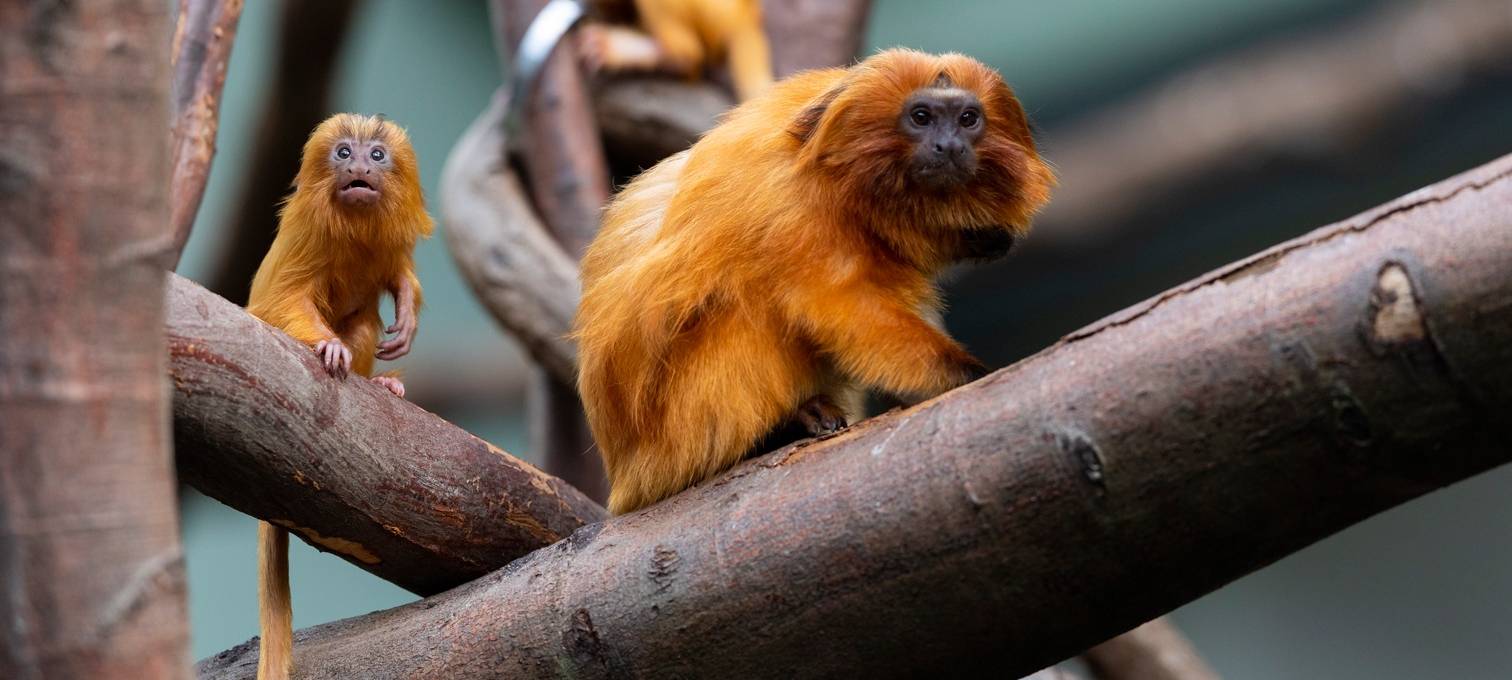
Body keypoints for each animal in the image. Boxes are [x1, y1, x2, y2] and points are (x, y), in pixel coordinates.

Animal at [244, 113, 433, 680]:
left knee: (366, 319)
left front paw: (406, 308)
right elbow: (283, 298)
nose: (357, 169)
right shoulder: (307, 234)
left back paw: (382, 384)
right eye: (344, 152)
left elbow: (396, 274)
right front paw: (326, 344)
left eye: (377, 156)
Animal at [574, 49, 1055, 515]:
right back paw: (780, 429)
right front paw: (966, 375)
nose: (949, 145)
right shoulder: (791, 207)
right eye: (921, 117)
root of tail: (626, 477)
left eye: (968, 119)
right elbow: (836, 302)